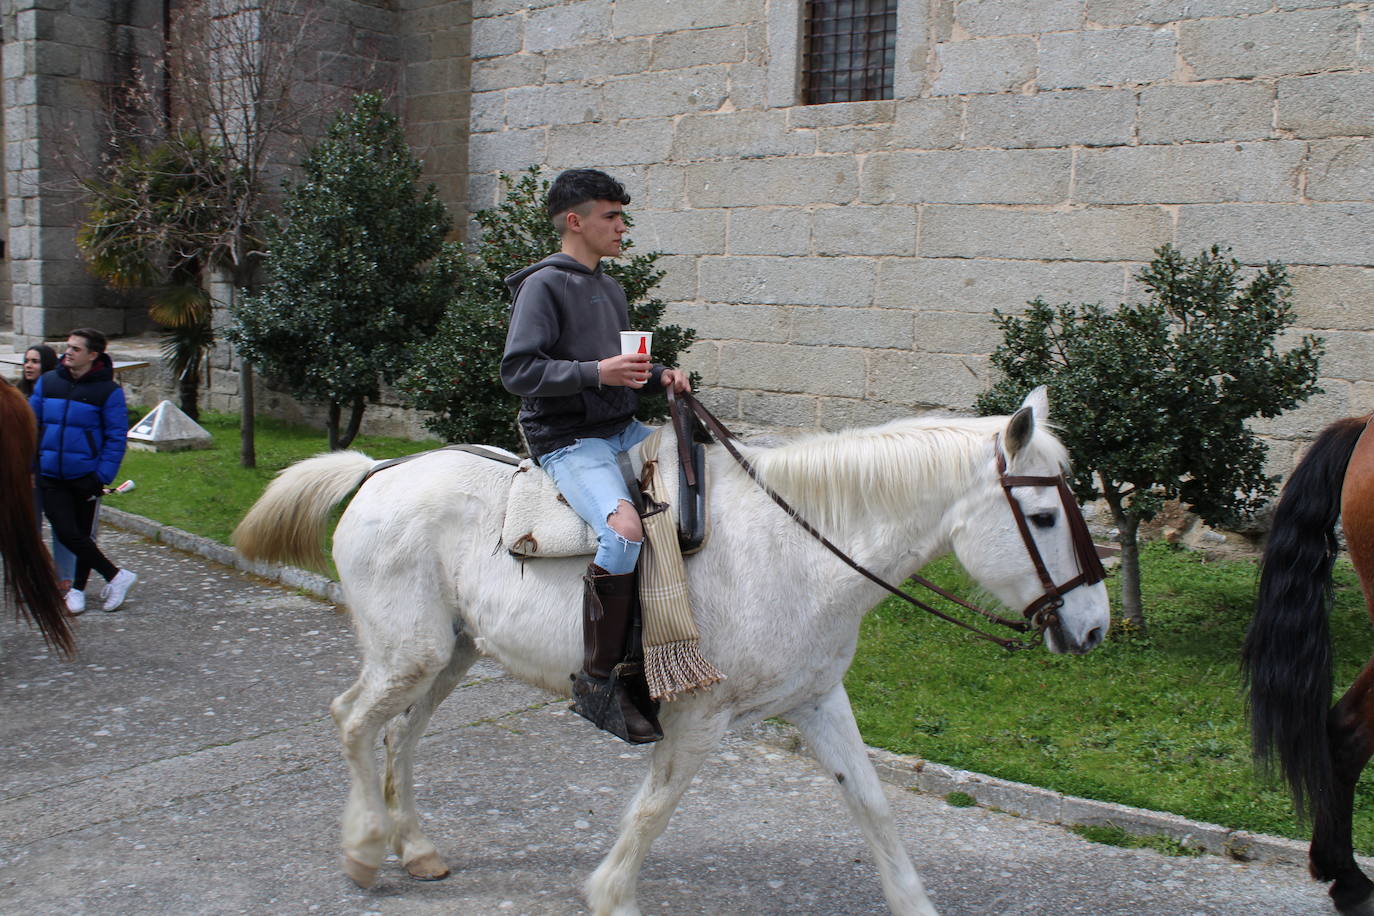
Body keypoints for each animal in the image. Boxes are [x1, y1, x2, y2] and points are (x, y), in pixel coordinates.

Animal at [236, 390, 1110, 916]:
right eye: (1040, 516)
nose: (1096, 627)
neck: (796, 549)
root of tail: (381, 470)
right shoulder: (698, 718)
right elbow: (653, 810)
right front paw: (611, 895)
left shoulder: (816, 700)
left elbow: (873, 806)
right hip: (409, 651)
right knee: (355, 721)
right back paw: (362, 852)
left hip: (451, 653)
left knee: (403, 733)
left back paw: (413, 847)